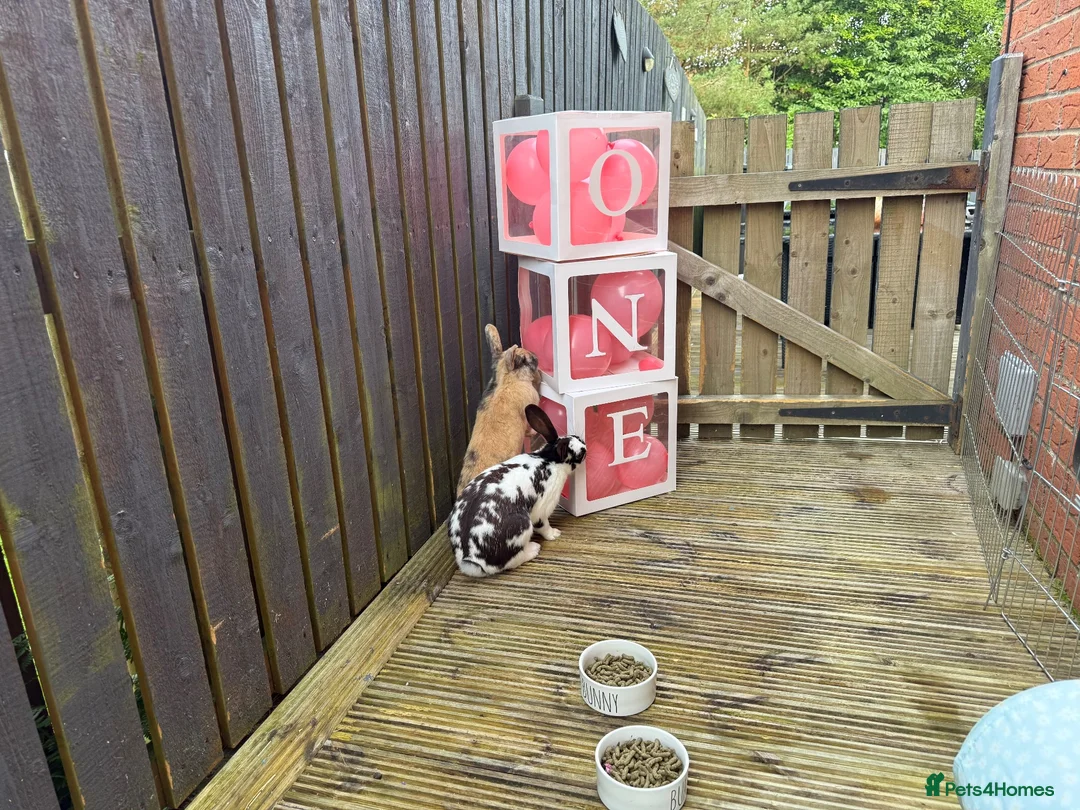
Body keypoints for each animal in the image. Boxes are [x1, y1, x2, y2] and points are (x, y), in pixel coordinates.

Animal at [449, 403, 586, 578]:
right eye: (580, 452)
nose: (586, 447)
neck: (549, 459)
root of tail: (471, 560)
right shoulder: (541, 510)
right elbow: (544, 526)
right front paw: (554, 534)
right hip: (522, 526)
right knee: (511, 562)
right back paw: (534, 549)